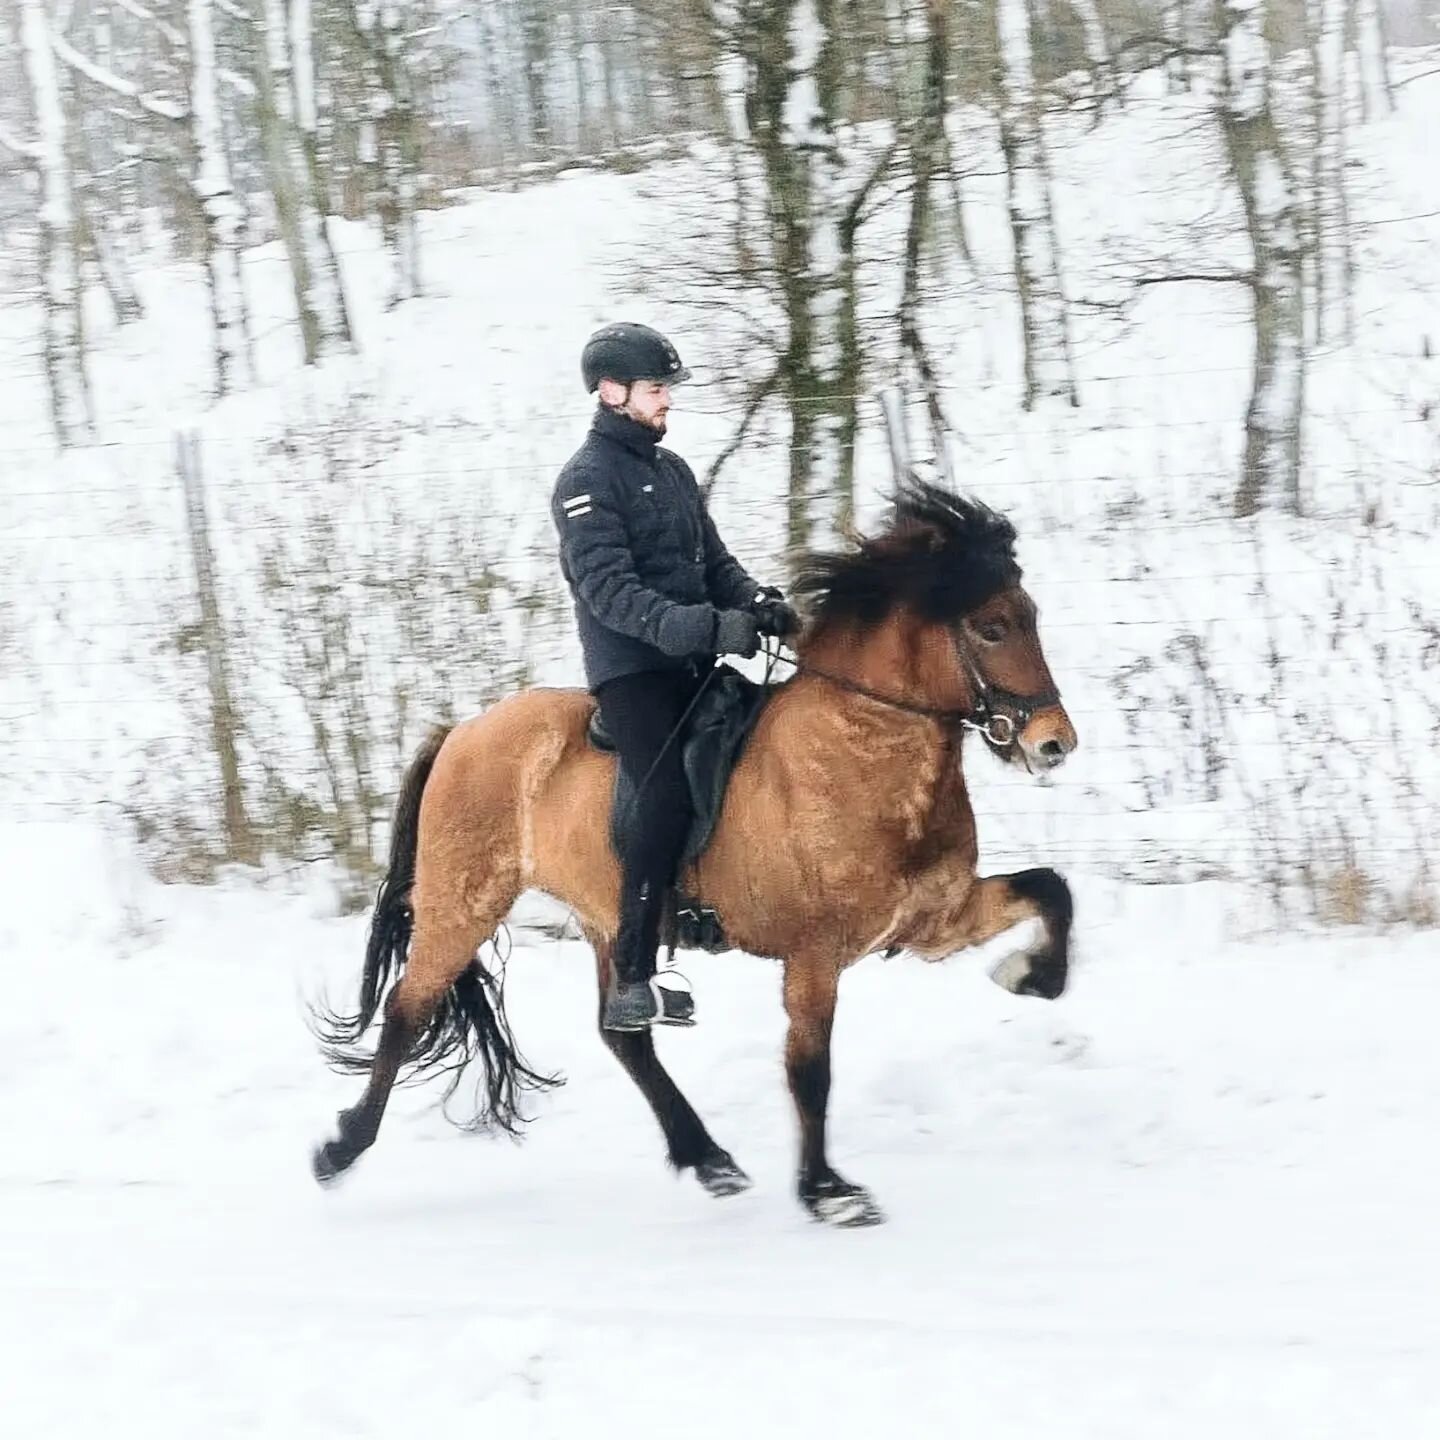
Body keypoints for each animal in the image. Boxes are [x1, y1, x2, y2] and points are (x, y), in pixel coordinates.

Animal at [318, 483, 1082, 1226]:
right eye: (991, 626)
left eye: (1030, 615)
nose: (1053, 742)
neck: (857, 747)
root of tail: (459, 732)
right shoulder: (814, 955)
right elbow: (810, 1069)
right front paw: (827, 1191)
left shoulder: (933, 919)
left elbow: (1052, 889)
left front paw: (1028, 976)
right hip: (464, 902)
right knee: (407, 1010)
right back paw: (339, 1148)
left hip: (609, 920)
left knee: (623, 1036)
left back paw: (709, 1158)